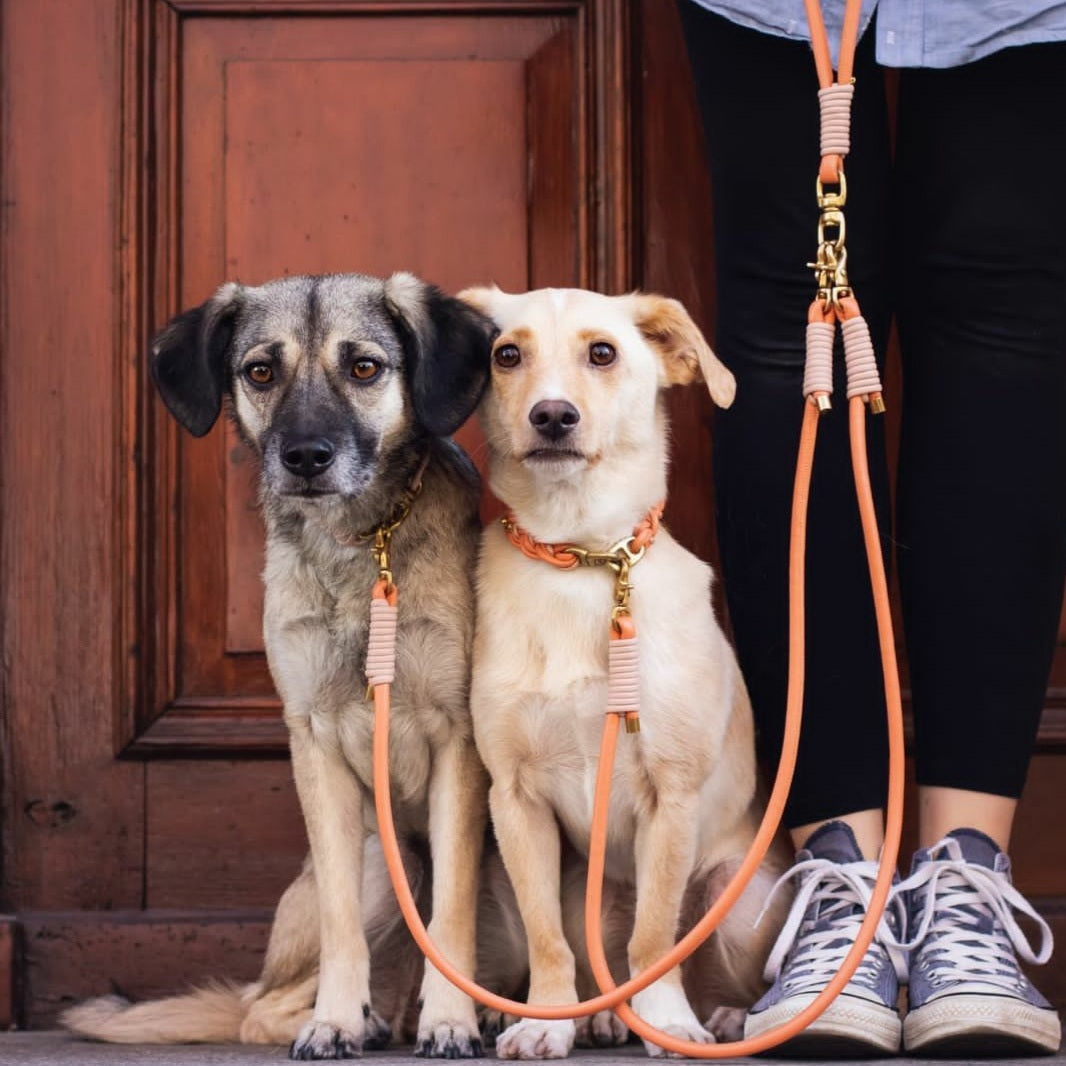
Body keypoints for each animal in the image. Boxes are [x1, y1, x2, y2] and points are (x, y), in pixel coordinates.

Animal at [462, 287, 788, 1061]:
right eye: (505, 354)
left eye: (602, 353)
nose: (552, 416)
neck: (580, 558)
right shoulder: (515, 800)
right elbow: (551, 940)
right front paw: (546, 1021)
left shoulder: (671, 797)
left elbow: (654, 938)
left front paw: (667, 1021)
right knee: (589, 962)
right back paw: (590, 1016)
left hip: (737, 895)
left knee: (708, 967)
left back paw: (723, 1020)